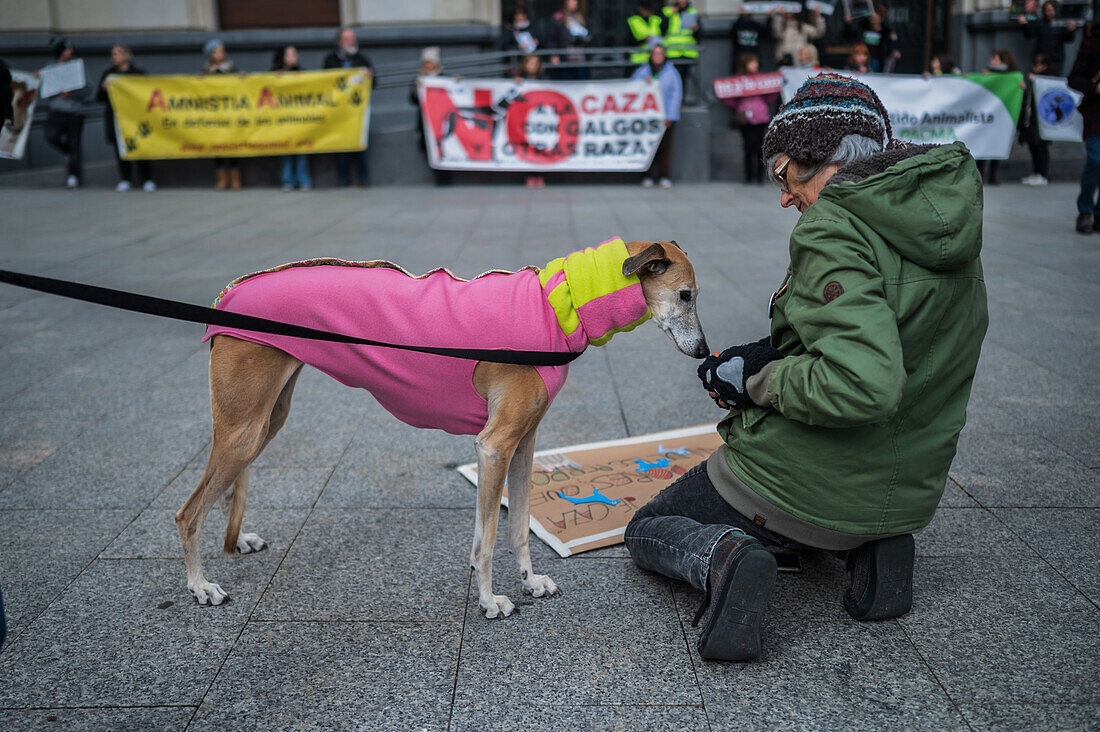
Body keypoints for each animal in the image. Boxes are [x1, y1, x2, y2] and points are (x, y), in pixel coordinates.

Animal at [173, 239, 704, 616]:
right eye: (686, 295)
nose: (703, 353)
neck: (558, 306)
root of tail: (229, 293)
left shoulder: (523, 445)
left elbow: (513, 528)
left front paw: (529, 582)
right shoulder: (494, 446)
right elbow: (488, 540)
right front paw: (489, 601)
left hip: (265, 418)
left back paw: (239, 540)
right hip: (243, 429)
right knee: (187, 512)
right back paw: (201, 587)